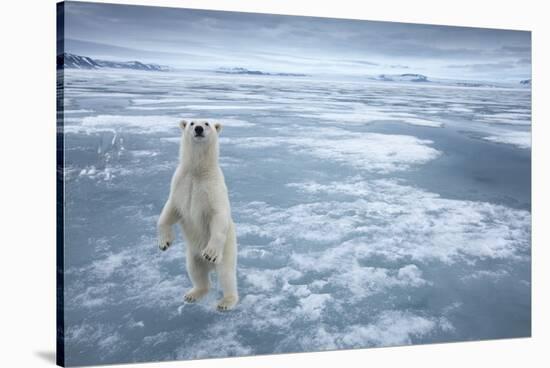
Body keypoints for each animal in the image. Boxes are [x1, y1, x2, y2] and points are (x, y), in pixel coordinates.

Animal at [157, 120, 239, 310]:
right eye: (191, 122)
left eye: (207, 123)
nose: (198, 129)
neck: (197, 171)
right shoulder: (180, 184)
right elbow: (170, 211)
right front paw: (164, 243)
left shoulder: (213, 188)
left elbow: (218, 215)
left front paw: (209, 253)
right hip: (192, 254)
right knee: (195, 271)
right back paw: (193, 294)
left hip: (227, 250)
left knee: (226, 275)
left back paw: (225, 302)